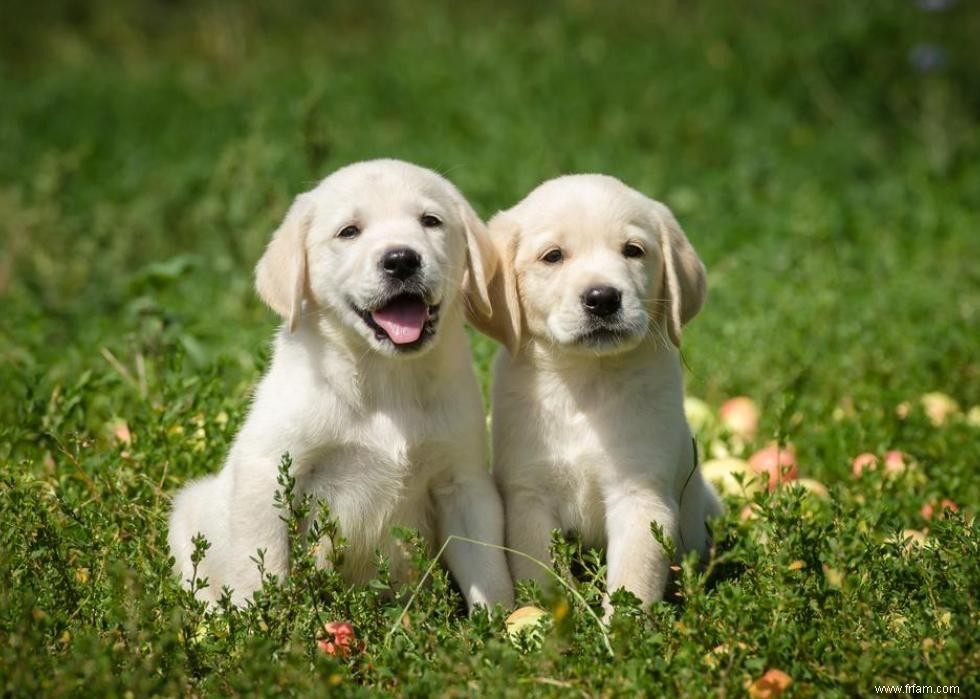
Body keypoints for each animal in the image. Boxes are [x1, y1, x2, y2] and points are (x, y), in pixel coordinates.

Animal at [169, 160, 516, 612]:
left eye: (430, 221)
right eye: (349, 232)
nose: (401, 259)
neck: (386, 379)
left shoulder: (463, 481)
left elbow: (488, 572)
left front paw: (502, 623)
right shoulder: (269, 474)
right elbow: (260, 570)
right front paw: (259, 625)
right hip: (185, 513)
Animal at [470, 174, 724, 612]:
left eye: (633, 250)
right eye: (553, 256)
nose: (603, 298)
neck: (585, 383)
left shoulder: (640, 496)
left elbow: (632, 585)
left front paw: (620, 628)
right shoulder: (528, 497)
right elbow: (542, 575)